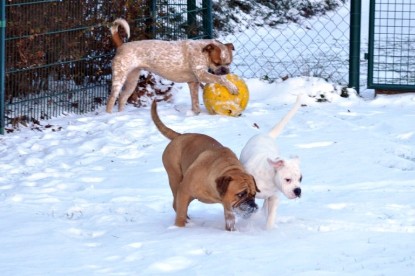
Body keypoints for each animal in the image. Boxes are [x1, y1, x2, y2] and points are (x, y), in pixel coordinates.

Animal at [107, 18, 237, 113]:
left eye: (228, 63)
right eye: (216, 62)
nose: (225, 71)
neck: (203, 51)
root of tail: (121, 45)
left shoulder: (193, 82)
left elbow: (195, 103)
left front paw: (196, 114)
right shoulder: (201, 75)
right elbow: (220, 79)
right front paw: (232, 87)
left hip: (132, 81)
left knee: (122, 98)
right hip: (119, 79)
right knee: (111, 100)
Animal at [151, 101, 258, 231]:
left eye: (254, 194)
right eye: (240, 194)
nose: (252, 206)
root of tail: (179, 136)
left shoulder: (227, 205)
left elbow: (229, 219)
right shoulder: (184, 191)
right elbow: (180, 213)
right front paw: (179, 228)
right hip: (175, 179)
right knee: (176, 205)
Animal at [239, 96, 304, 230]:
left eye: (301, 179)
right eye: (287, 179)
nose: (298, 191)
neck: (269, 178)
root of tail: (267, 135)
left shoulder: (274, 197)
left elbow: (271, 216)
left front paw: (268, 231)